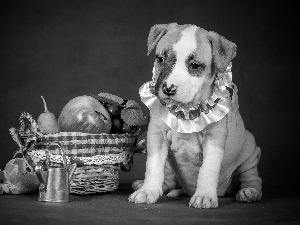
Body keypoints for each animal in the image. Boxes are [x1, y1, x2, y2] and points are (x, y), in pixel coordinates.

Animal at [129, 23, 262, 208]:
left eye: (194, 65)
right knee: (168, 180)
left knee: (253, 179)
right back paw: (150, 186)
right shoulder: (157, 135)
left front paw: (204, 195)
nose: (168, 89)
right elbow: (153, 165)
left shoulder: (214, 140)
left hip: (250, 152)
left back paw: (248, 192)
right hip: (169, 165)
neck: (186, 110)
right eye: (160, 59)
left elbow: (208, 169)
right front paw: (148, 191)